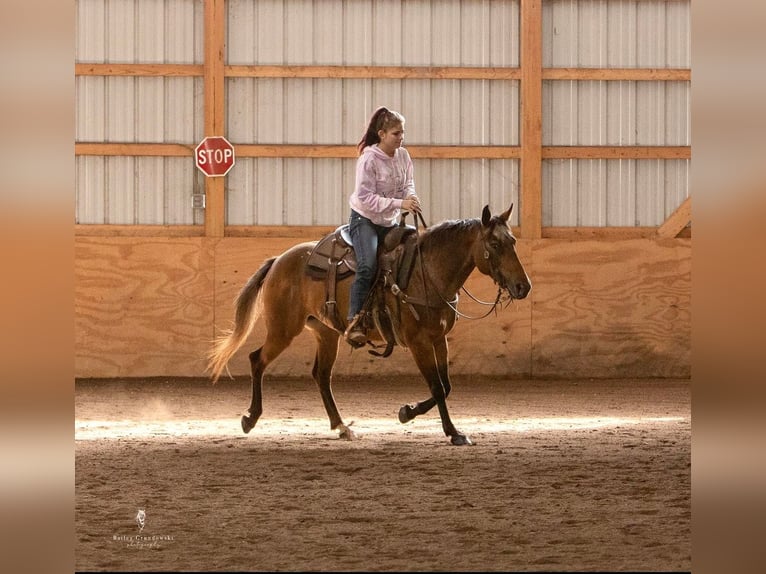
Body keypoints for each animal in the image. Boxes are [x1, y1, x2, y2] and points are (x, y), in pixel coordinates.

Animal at [210, 205, 536, 448]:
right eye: (494, 244)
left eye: (513, 242)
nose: (523, 286)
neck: (427, 273)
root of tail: (279, 260)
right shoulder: (418, 342)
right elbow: (437, 387)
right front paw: (452, 432)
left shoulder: (438, 338)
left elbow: (445, 385)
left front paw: (408, 412)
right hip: (282, 329)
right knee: (257, 360)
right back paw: (250, 418)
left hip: (326, 333)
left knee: (321, 375)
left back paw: (342, 427)